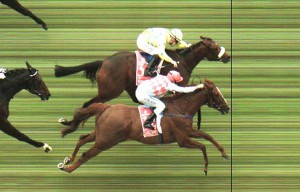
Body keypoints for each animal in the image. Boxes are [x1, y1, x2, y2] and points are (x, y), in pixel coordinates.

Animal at [55, 35, 231, 126]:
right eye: (215, 47)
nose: (228, 57)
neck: (183, 61)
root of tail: (104, 61)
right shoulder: (178, 85)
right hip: (109, 91)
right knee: (88, 103)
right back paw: (71, 122)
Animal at [56, 79, 230, 175]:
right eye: (216, 93)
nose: (227, 108)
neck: (181, 109)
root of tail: (105, 107)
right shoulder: (182, 140)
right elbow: (203, 146)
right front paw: (206, 168)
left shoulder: (189, 131)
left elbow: (208, 137)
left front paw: (224, 153)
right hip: (105, 141)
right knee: (87, 154)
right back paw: (69, 168)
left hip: (100, 134)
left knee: (82, 138)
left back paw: (68, 159)